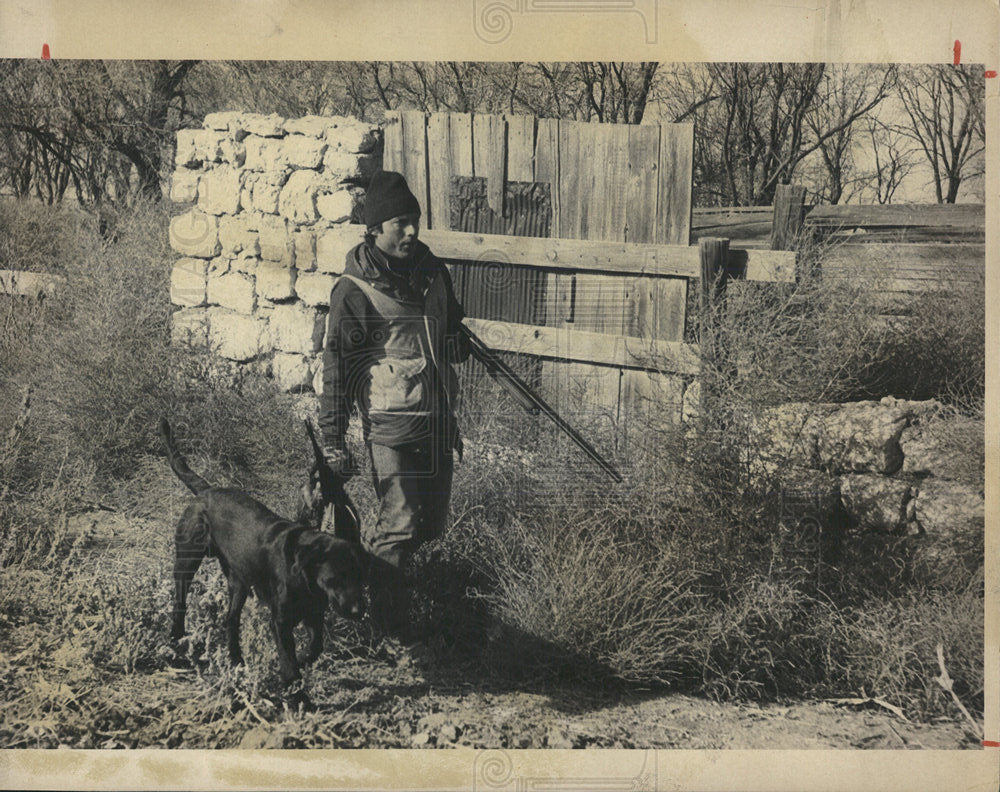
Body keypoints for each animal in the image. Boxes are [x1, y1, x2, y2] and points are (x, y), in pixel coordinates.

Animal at [162, 418, 366, 688]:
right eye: (335, 579)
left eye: (359, 577)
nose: (358, 611)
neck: (302, 573)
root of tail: (207, 490)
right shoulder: (281, 622)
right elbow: (289, 662)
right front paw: (297, 691)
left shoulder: (313, 614)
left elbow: (316, 647)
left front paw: (304, 661)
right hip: (186, 560)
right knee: (180, 601)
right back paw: (176, 640)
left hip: (238, 581)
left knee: (231, 620)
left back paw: (236, 660)